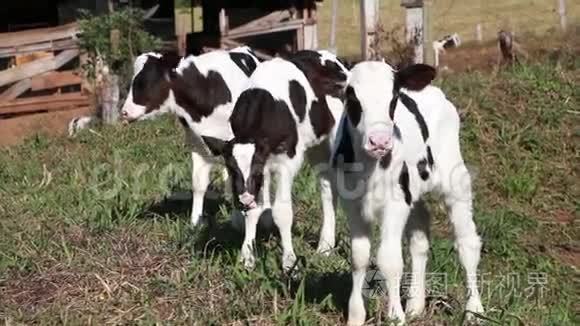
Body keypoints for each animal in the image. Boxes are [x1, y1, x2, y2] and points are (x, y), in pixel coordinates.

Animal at [121, 46, 260, 227]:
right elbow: (199, 184)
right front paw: (195, 223)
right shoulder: (198, 145)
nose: (124, 112)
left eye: (144, 81)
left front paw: (237, 219)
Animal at [204, 51, 348, 270]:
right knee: (327, 186)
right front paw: (247, 258)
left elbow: (282, 212)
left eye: (255, 169)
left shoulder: (286, 162)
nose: (243, 199)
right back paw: (325, 246)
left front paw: (289, 261)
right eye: (231, 169)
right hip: (317, 146)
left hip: (335, 140)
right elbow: (255, 210)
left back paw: (325, 247)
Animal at [334, 61, 482, 324]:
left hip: (455, 180)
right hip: (413, 191)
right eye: (351, 96)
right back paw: (415, 305)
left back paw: (474, 310)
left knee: (468, 244)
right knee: (420, 238)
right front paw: (356, 316)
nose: (379, 141)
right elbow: (359, 257)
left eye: (393, 98)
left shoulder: (396, 202)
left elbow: (390, 260)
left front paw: (396, 317)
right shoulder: (352, 204)